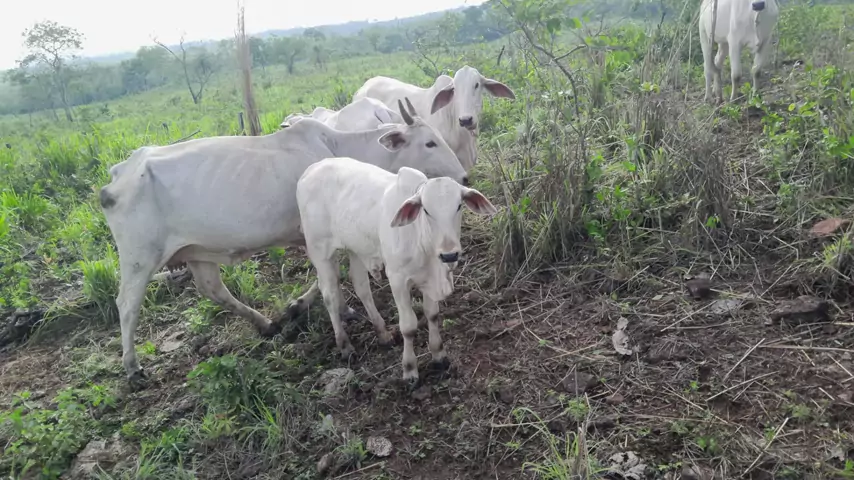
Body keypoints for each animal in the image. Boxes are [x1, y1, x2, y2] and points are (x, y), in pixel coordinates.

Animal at [98, 99, 467, 389]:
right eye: (430, 143)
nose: (464, 176)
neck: (338, 149)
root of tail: (116, 176)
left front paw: (330, 309)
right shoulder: (312, 234)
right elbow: (327, 281)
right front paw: (313, 308)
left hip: (197, 252)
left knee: (213, 290)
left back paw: (265, 323)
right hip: (139, 258)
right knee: (127, 305)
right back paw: (132, 367)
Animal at [296, 157, 497, 385]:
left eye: (459, 206)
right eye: (426, 210)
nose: (449, 255)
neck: (422, 241)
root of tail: (311, 170)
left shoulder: (430, 280)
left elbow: (432, 315)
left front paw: (439, 355)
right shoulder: (398, 280)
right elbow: (408, 326)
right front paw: (409, 370)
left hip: (356, 248)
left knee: (361, 286)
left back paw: (382, 333)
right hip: (320, 251)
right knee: (329, 294)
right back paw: (345, 345)